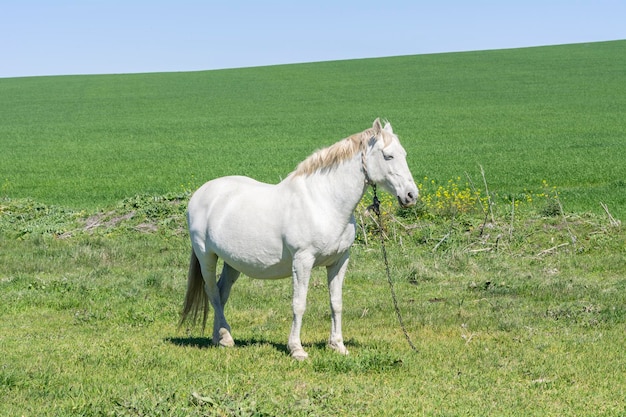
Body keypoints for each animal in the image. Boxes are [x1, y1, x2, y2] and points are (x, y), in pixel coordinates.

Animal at [178, 118, 416, 360]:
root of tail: (202, 192)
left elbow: (336, 303)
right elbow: (299, 304)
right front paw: (297, 349)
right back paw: (225, 337)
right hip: (206, 256)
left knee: (222, 292)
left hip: (232, 262)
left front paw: (337, 345)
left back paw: (220, 337)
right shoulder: (303, 260)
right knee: (212, 291)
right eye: (388, 156)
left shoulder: (339, 261)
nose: (411, 195)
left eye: (405, 154)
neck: (323, 201)